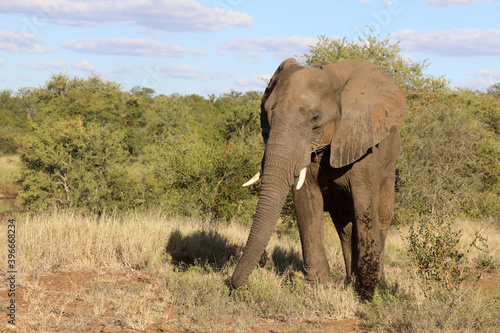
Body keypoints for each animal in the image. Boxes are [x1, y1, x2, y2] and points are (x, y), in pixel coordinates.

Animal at [230, 58, 406, 296]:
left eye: (315, 117)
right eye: (267, 113)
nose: (233, 286)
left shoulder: (363, 144)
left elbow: (364, 206)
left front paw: (369, 292)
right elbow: (306, 201)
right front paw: (318, 287)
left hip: (388, 169)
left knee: (381, 219)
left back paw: (375, 284)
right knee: (344, 228)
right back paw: (349, 282)